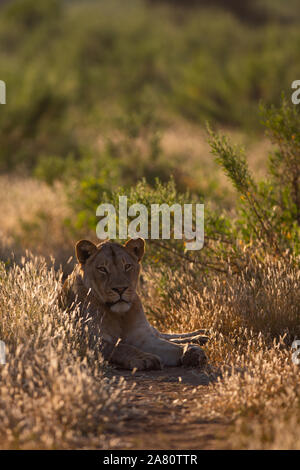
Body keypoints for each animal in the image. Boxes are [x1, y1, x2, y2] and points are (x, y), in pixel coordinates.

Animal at [59, 239, 207, 370]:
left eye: (127, 266)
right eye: (102, 269)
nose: (120, 289)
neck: (118, 315)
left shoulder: (142, 336)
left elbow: (169, 345)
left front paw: (191, 352)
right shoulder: (89, 340)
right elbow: (120, 347)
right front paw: (145, 358)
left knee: (164, 335)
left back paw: (200, 336)